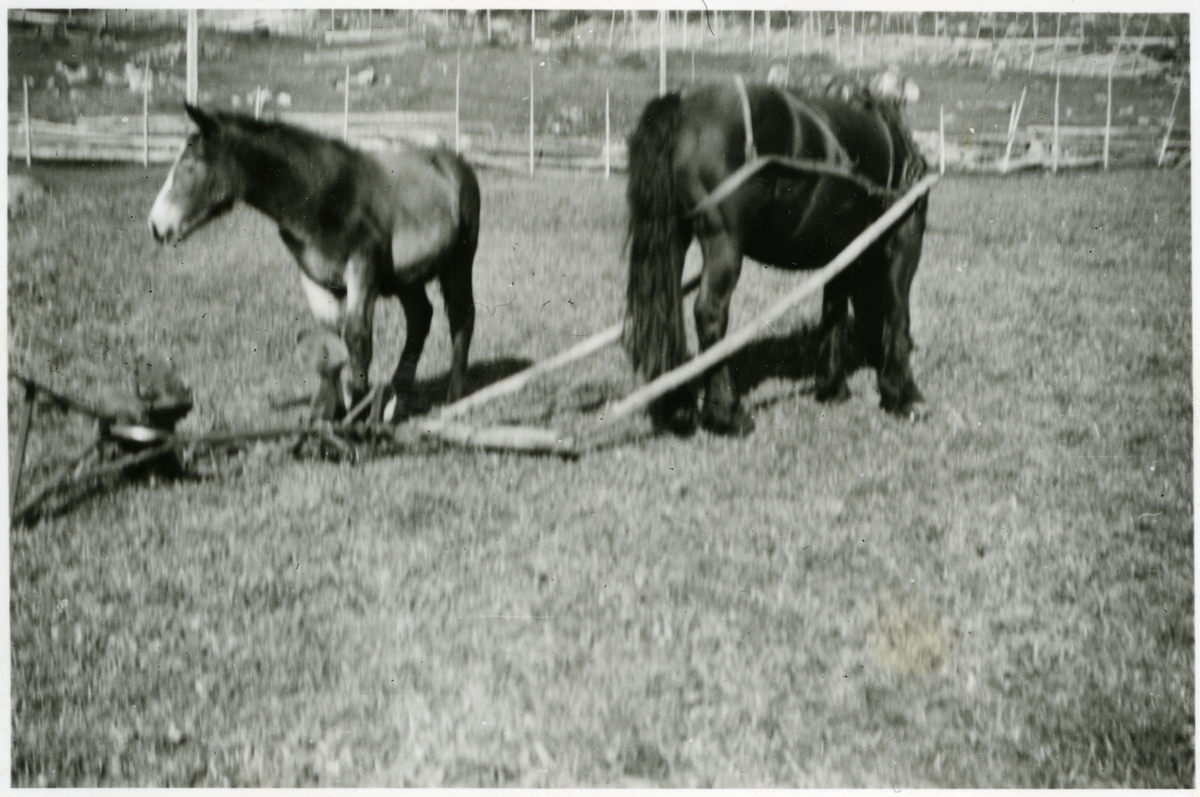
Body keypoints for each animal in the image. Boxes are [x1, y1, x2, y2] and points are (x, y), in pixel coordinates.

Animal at [151, 104, 482, 422]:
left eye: (190, 165)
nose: (155, 225)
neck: (322, 194)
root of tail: (457, 164)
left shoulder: (363, 269)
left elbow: (357, 338)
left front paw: (357, 415)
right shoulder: (316, 279)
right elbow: (331, 342)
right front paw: (335, 413)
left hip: (459, 262)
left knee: (461, 314)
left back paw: (454, 397)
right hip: (406, 277)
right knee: (420, 318)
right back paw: (398, 402)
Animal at [624, 79, 931, 436]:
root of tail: (683, 106)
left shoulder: (843, 246)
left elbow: (835, 310)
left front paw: (833, 386)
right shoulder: (904, 235)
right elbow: (897, 310)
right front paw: (904, 394)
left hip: (675, 236)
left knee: (667, 310)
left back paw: (679, 409)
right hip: (723, 239)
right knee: (709, 312)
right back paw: (727, 413)